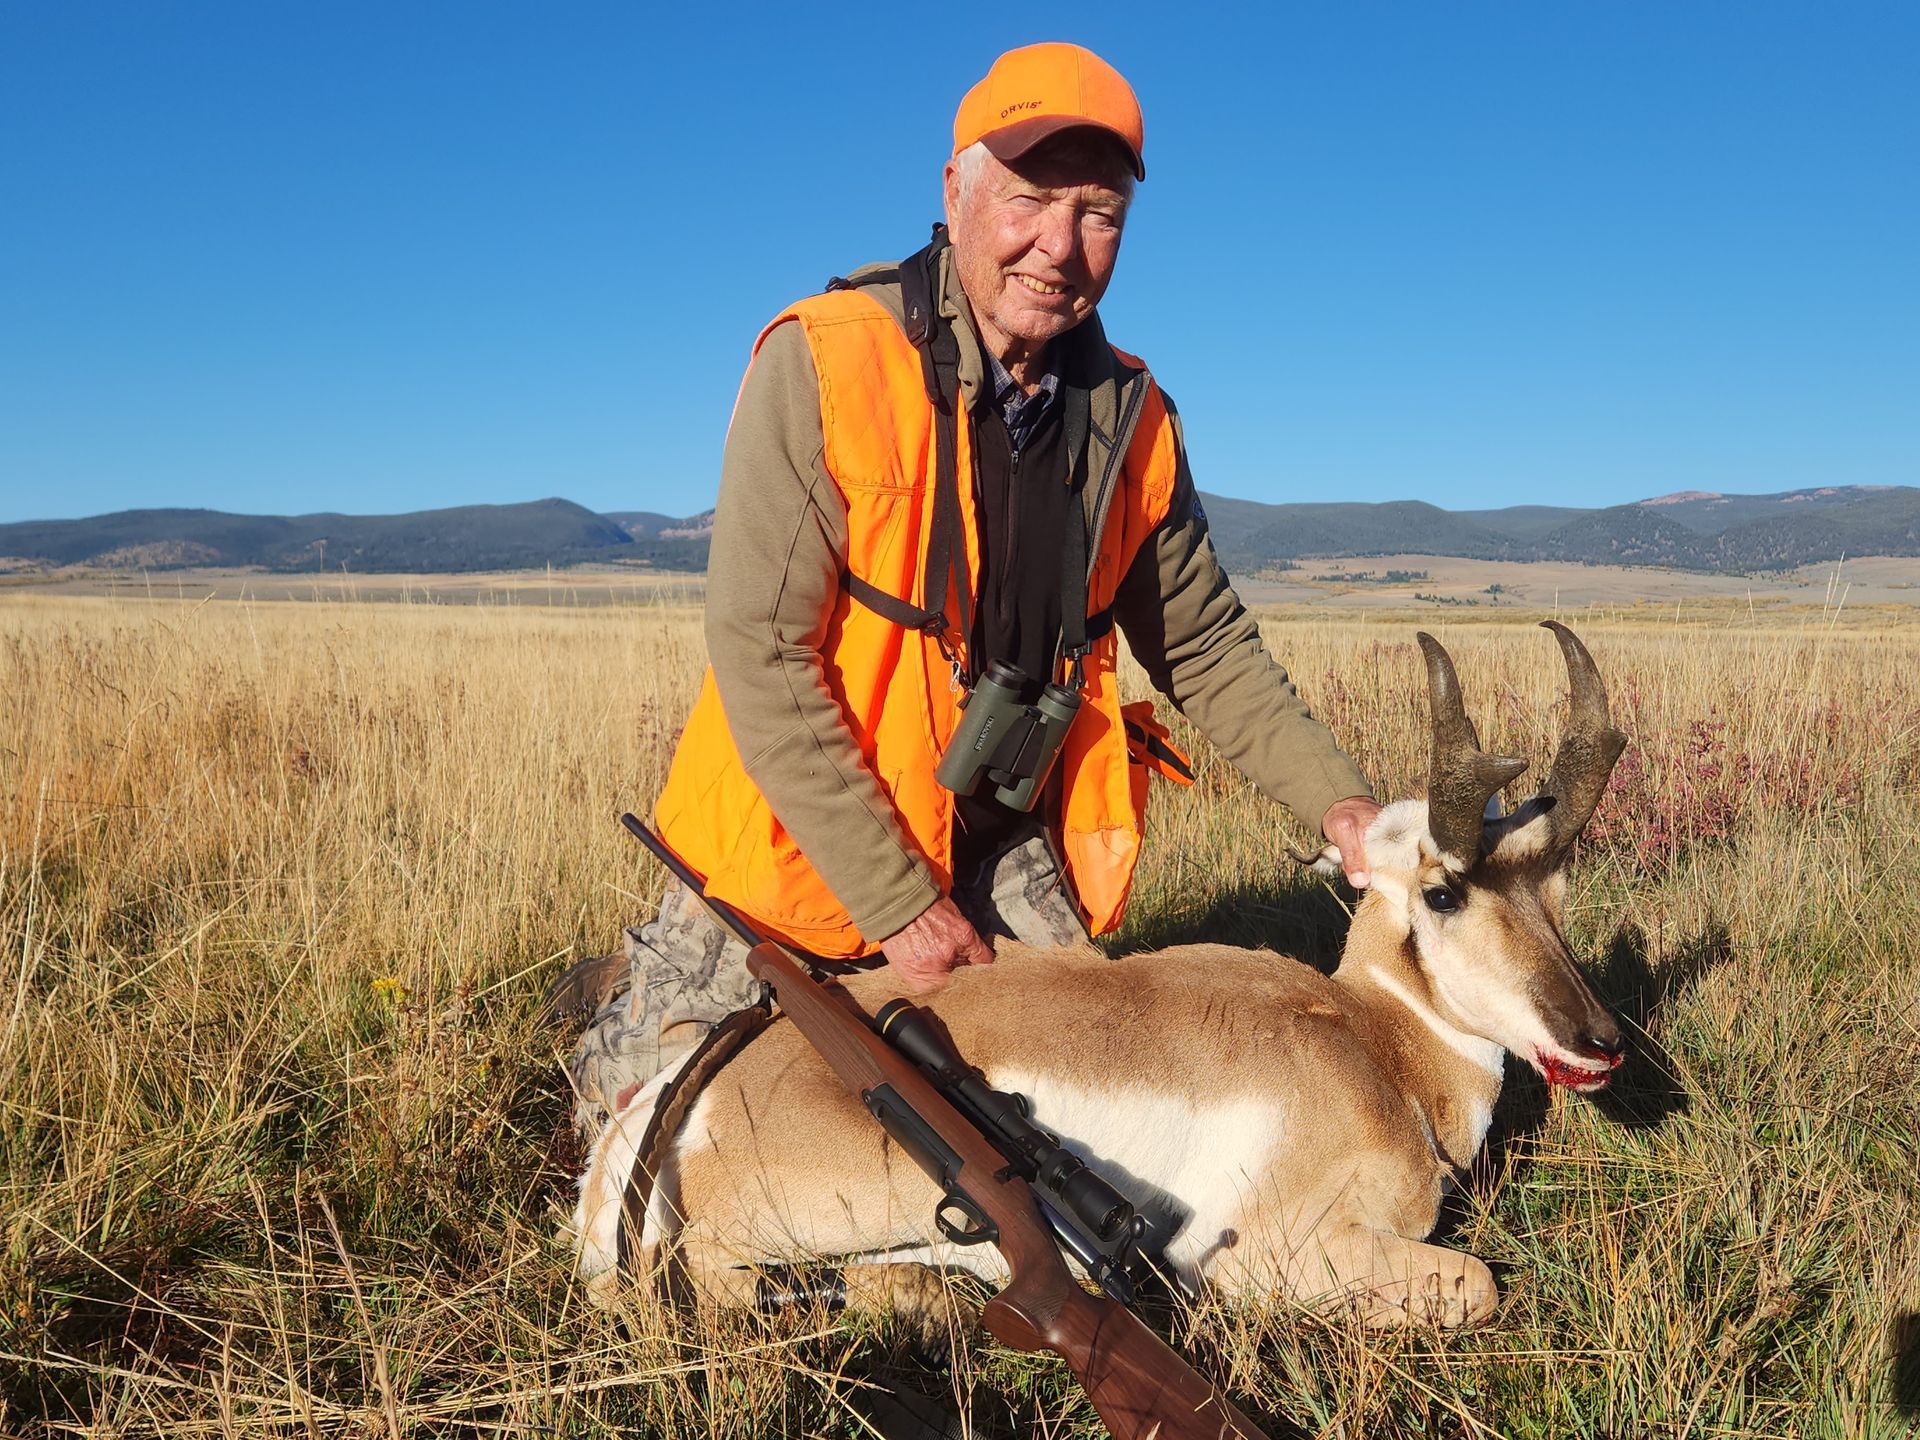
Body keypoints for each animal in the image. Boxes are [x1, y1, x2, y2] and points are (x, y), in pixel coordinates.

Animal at [573, 622, 1629, 1329]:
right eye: (1444, 892)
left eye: (1559, 884)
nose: (1602, 1043)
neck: (1373, 1041)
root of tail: (661, 1111)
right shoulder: (1273, 1252)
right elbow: (1480, 1282)